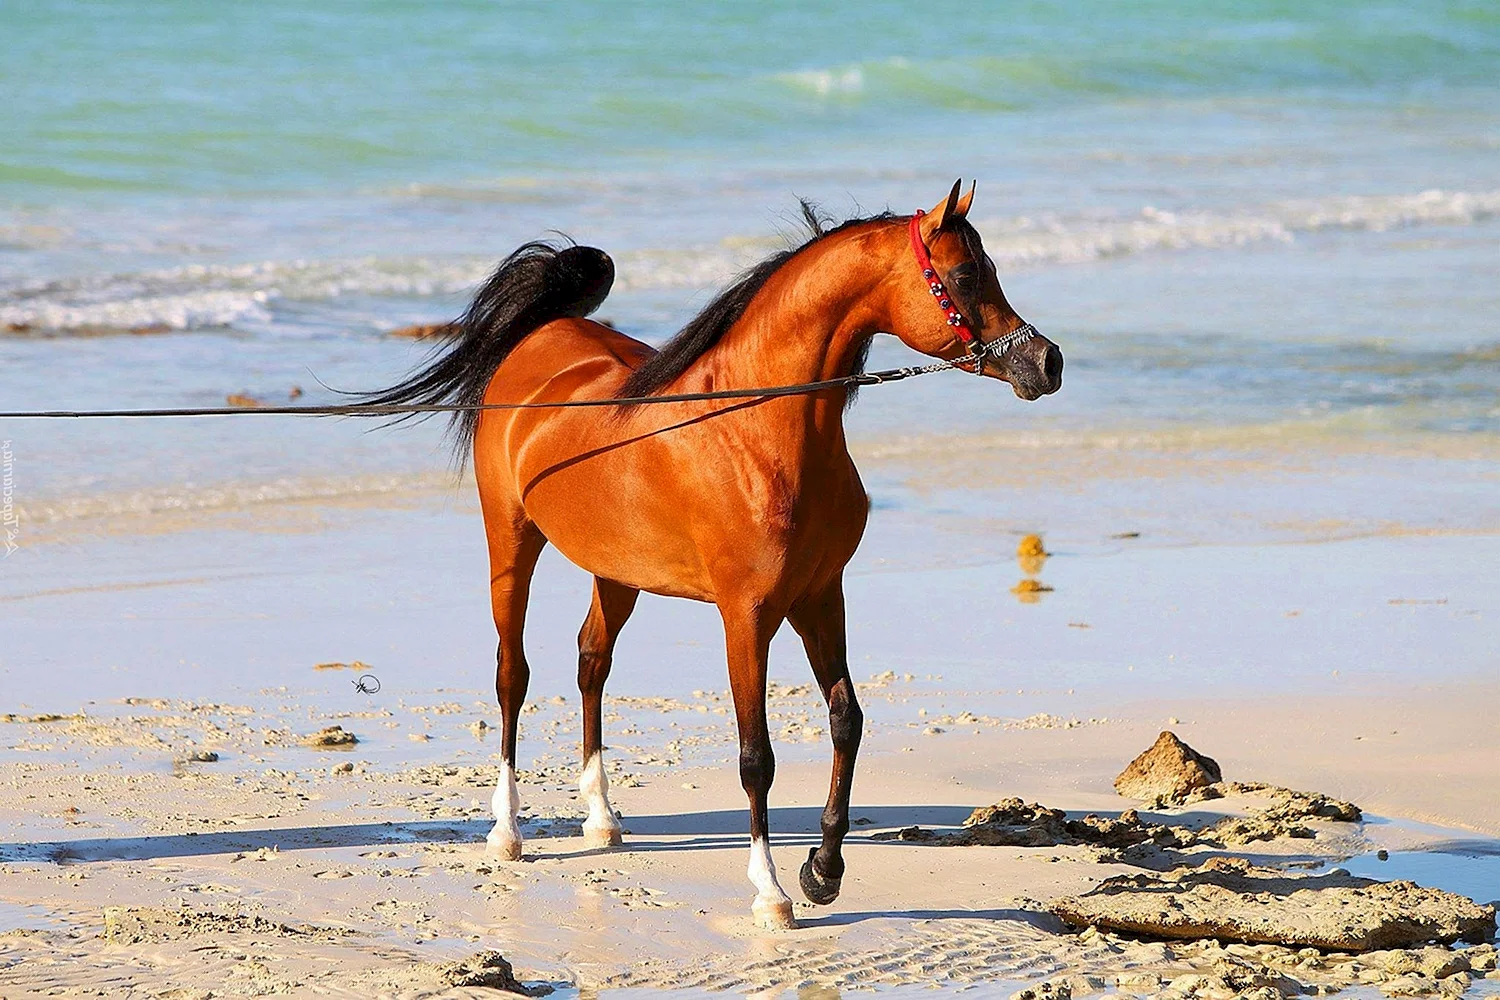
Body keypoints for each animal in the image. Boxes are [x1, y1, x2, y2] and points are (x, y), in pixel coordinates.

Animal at [369, 182, 1062, 929]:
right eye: (964, 275)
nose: (1046, 362)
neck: (760, 430)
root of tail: (539, 338)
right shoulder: (747, 615)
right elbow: (756, 756)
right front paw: (773, 893)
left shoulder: (821, 595)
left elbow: (847, 720)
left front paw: (823, 872)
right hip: (511, 542)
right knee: (511, 676)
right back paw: (507, 832)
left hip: (617, 571)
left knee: (591, 662)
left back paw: (603, 818)